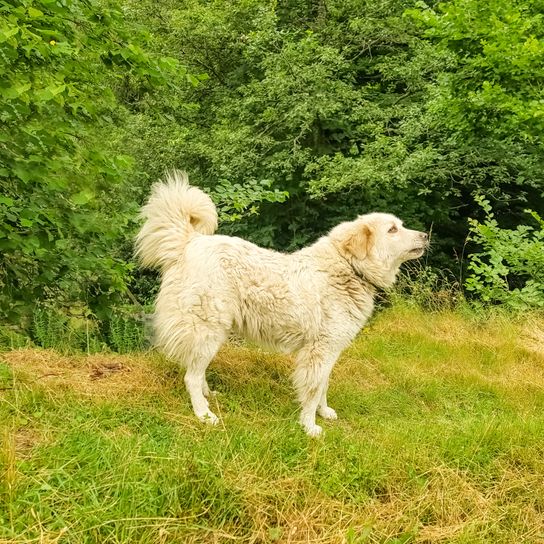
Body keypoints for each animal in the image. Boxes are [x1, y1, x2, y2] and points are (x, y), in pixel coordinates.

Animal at [136, 172, 430, 436]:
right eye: (392, 229)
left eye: (400, 225)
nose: (426, 235)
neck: (348, 269)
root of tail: (191, 241)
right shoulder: (318, 352)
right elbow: (313, 391)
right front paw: (310, 427)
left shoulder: (330, 351)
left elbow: (323, 387)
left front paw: (325, 412)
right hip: (207, 330)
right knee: (191, 376)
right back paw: (204, 414)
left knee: (197, 371)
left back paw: (210, 396)